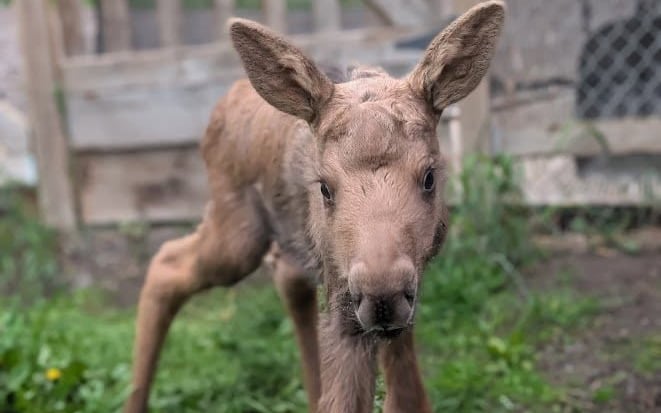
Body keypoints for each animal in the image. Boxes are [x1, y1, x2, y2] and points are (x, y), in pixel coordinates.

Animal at [123, 2, 504, 412]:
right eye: (324, 187)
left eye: (430, 177)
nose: (381, 296)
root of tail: (227, 100)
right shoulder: (342, 297)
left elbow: (406, 395)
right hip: (238, 232)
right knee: (167, 261)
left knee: (286, 280)